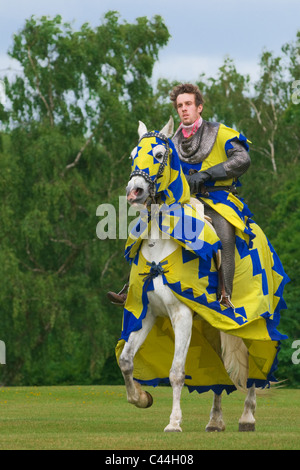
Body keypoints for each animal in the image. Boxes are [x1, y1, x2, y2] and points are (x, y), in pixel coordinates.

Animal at [118, 118, 255, 434]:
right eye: (133, 155)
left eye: (158, 155)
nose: (134, 192)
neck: (160, 242)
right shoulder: (146, 311)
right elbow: (126, 360)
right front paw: (141, 398)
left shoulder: (181, 314)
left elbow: (177, 372)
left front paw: (174, 422)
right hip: (211, 325)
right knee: (220, 369)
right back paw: (215, 420)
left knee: (256, 363)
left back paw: (247, 416)